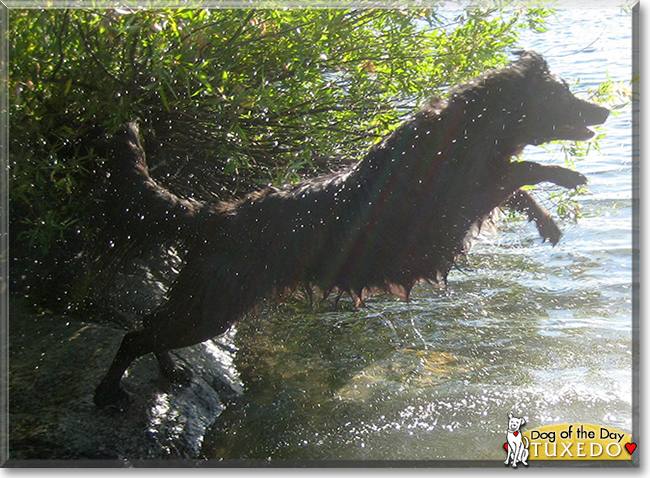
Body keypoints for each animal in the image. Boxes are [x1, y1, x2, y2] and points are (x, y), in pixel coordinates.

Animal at [95, 53, 608, 410]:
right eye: (564, 92)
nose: (602, 112)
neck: (471, 126)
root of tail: (212, 214)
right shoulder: (455, 202)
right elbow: (523, 169)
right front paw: (567, 177)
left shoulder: (475, 195)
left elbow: (517, 184)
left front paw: (548, 222)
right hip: (212, 304)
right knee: (137, 334)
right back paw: (109, 393)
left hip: (203, 299)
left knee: (148, 324)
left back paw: (169, 370)